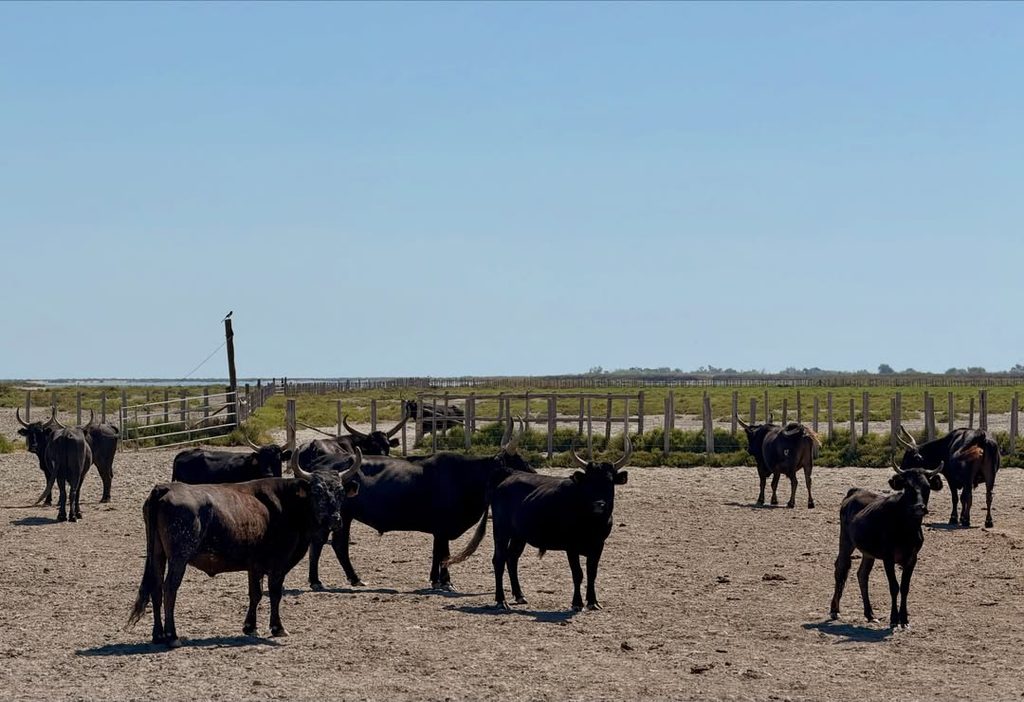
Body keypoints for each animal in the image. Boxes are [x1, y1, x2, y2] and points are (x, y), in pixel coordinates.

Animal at [127, 453, 361, 648]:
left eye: (340, 492)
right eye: (317, 491)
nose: (334, 519)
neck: (286, 503)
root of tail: (165, 488)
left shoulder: (254, 565)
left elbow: (255, 594)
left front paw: (250, 626)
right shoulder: (278, 563)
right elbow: (274, 593)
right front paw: (277, 627)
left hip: (157, 554)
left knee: (156, 587)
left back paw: (158, 634)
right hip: (179, 556)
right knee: (169, 588)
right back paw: (172, 636)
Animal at [305, 416, 533, 592]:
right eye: (518, 462)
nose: (534, 476)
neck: (464, 476)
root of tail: (322, 462)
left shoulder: (439, 530)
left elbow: (437, 552)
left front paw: (436, 580)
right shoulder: (443, 528)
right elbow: (443, 553)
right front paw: (446, 582)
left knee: (335, 544)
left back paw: (351, 579)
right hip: (337, 516)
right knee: (324, 543)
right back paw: (319, 581)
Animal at [446, 435, 631, 611]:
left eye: (609, 482)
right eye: (588, 482)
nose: (599, 504)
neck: (591, 521)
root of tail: (508, 476)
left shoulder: (598, 545)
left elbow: (592, 573)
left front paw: (593, 602)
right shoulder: (571, 547)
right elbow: (577, 574)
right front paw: (577, 603)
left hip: (519, 536)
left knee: (511, 559)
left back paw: (519, 595)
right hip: (501, 532)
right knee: (499, 560)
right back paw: (501, 601)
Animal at [829, 461, 944, 629]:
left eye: (927, 486)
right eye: (907, 486)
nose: (919, 507)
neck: (906, 528)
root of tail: (854, 492)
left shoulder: (912, 558)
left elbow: (905, 587)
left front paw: (904, 620)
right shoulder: (888, 557)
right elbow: (894, 586)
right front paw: (894, 619)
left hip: (868, 553)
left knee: (862, 574)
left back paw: (870, 614)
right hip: (845, 541)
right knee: (840, 568)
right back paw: (834, 610)